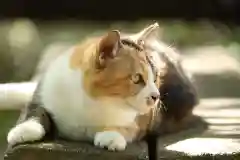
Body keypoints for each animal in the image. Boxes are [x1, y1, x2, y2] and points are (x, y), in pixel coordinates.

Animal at [6, 22, 163, 151]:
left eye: (155, 77)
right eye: (136, 78)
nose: (156, 96)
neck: (95, 99)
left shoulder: (143, 120)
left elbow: (131, 126)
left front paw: (111, 135)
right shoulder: (45, 89)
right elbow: (36, 109)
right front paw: (25, 129)